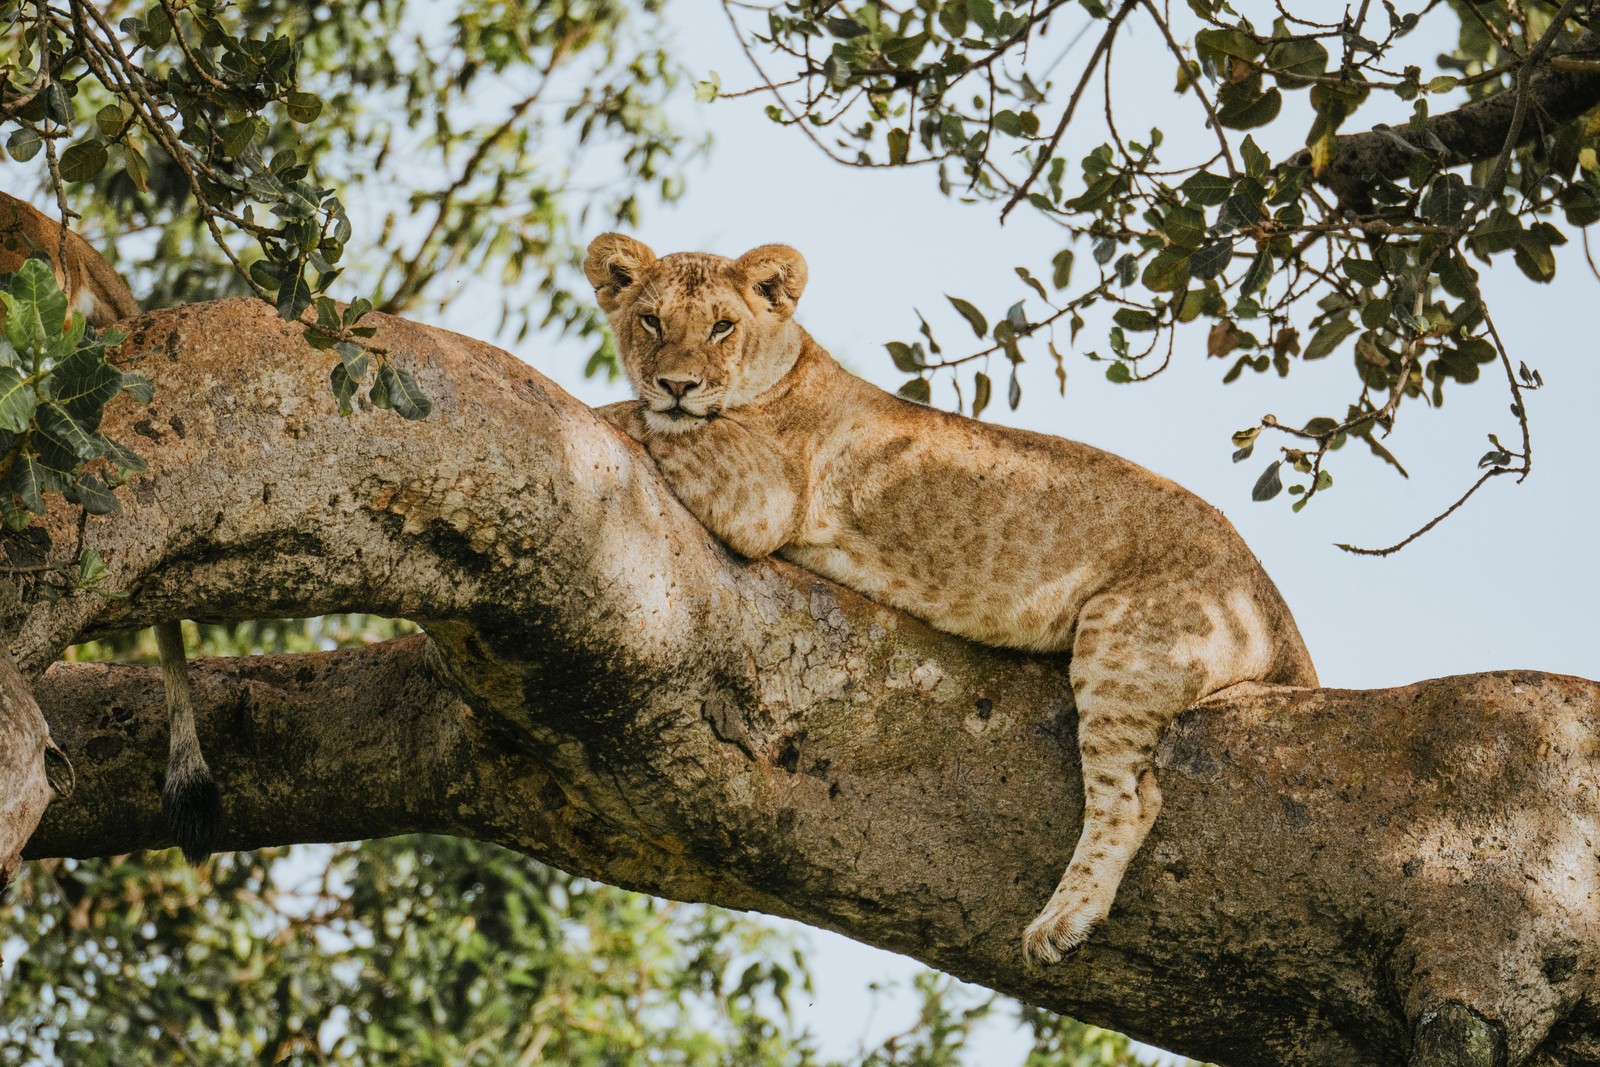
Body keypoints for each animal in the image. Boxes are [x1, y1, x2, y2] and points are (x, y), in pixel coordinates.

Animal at [585, 233, 1318, 962]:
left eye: (722, 326)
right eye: (651, 322)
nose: (677, 385)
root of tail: (1277, 610)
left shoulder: (764, 493)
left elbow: (650, 421)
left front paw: (620, 409)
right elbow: (652, 417)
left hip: (1125, 643)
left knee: (1131, 798)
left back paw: (1063, 918)